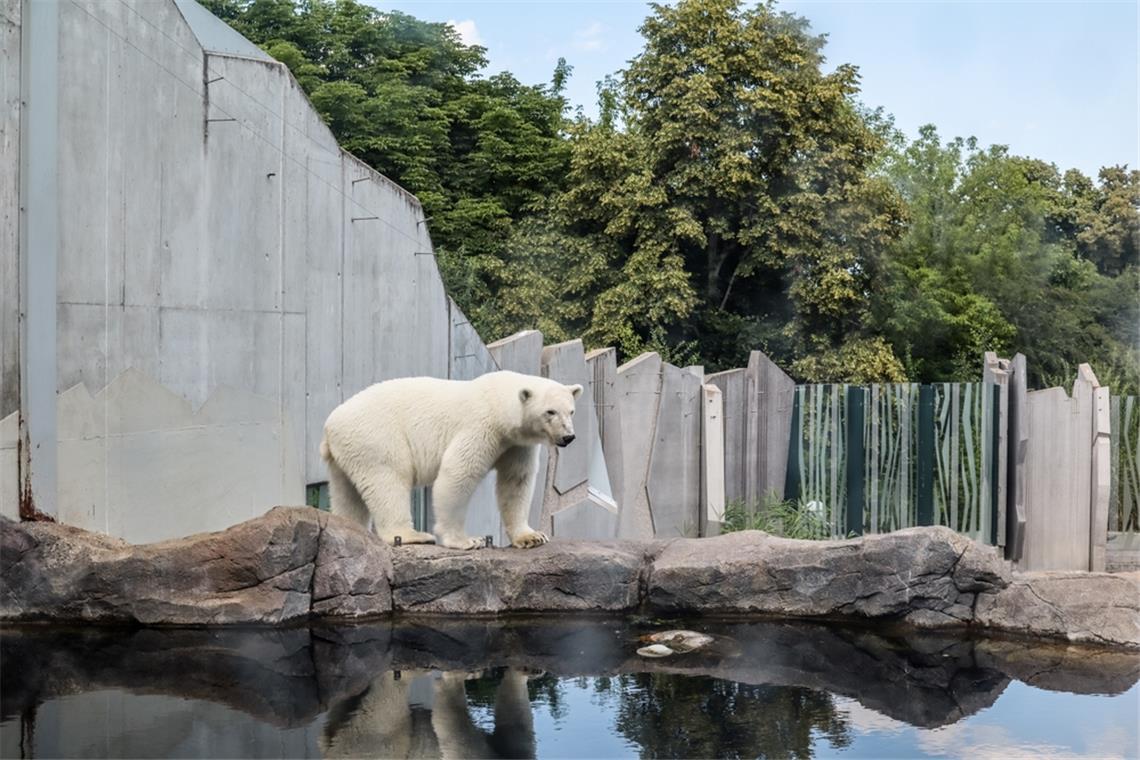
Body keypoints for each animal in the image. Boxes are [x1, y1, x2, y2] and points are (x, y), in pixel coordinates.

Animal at [316, 369, 579, 546]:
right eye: (550, 412)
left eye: (571, 411)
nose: (568, 436)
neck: (497, 403)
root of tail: (330, 425)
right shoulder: (480, 426)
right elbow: (458, 474)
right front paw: (467, 540)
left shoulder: (516, 443)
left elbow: (516, 481)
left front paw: (531, 537)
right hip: (376, 436)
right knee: (387, 481)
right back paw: (412, 535)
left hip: (348, 451)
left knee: (347, 495)